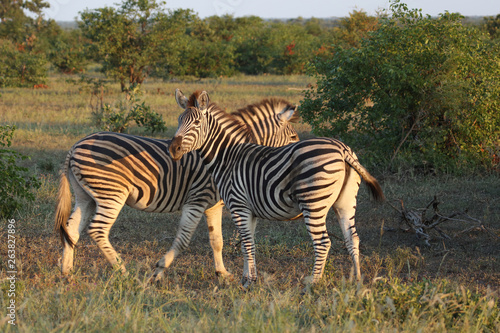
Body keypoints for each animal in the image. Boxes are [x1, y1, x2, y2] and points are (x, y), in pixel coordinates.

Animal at [53, 96, 300, 280]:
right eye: (294, 136)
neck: (226, 153)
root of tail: (76, 146)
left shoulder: (213, 204)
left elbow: (216, 241)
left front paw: (223, 273)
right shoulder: (197, 198)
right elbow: (184, 238)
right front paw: (159, 271)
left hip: (86, 196)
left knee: (71, 229)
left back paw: (67, 271)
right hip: (111, 195)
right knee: (97, 230)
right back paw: (123, 271)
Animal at [170, 89, 384, 288]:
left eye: (197, 123)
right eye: (179, 121)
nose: (173, 149)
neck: (228, 157)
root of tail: (343, 149)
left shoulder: (238, 206)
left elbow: (248, 244)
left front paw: (250, 282)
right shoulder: (250, 210)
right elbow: (247, 245)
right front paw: (246, 278)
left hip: (313, 203)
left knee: (323, 243)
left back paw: (313, 283)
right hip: (345, 203)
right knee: (352, 238)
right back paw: (356, 280)